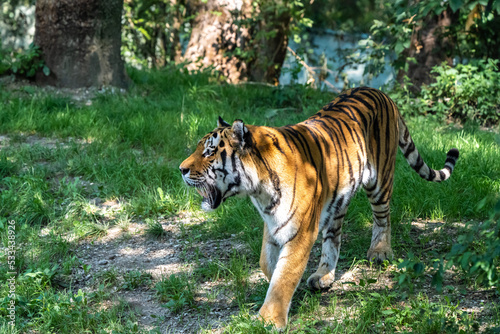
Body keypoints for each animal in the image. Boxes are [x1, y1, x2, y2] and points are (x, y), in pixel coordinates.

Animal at [178, 87, 458, 328]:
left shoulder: (300, 232)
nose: (181, 169)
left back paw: (379, 251)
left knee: (382, 217)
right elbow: (267, 264)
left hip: (379, 181)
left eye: (209, 152)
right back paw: (324, 275)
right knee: (333, 237)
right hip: (338, 197)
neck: (259, 189)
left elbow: (284, 275)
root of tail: (382, 93)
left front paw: (269, 319)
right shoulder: (273, 222)